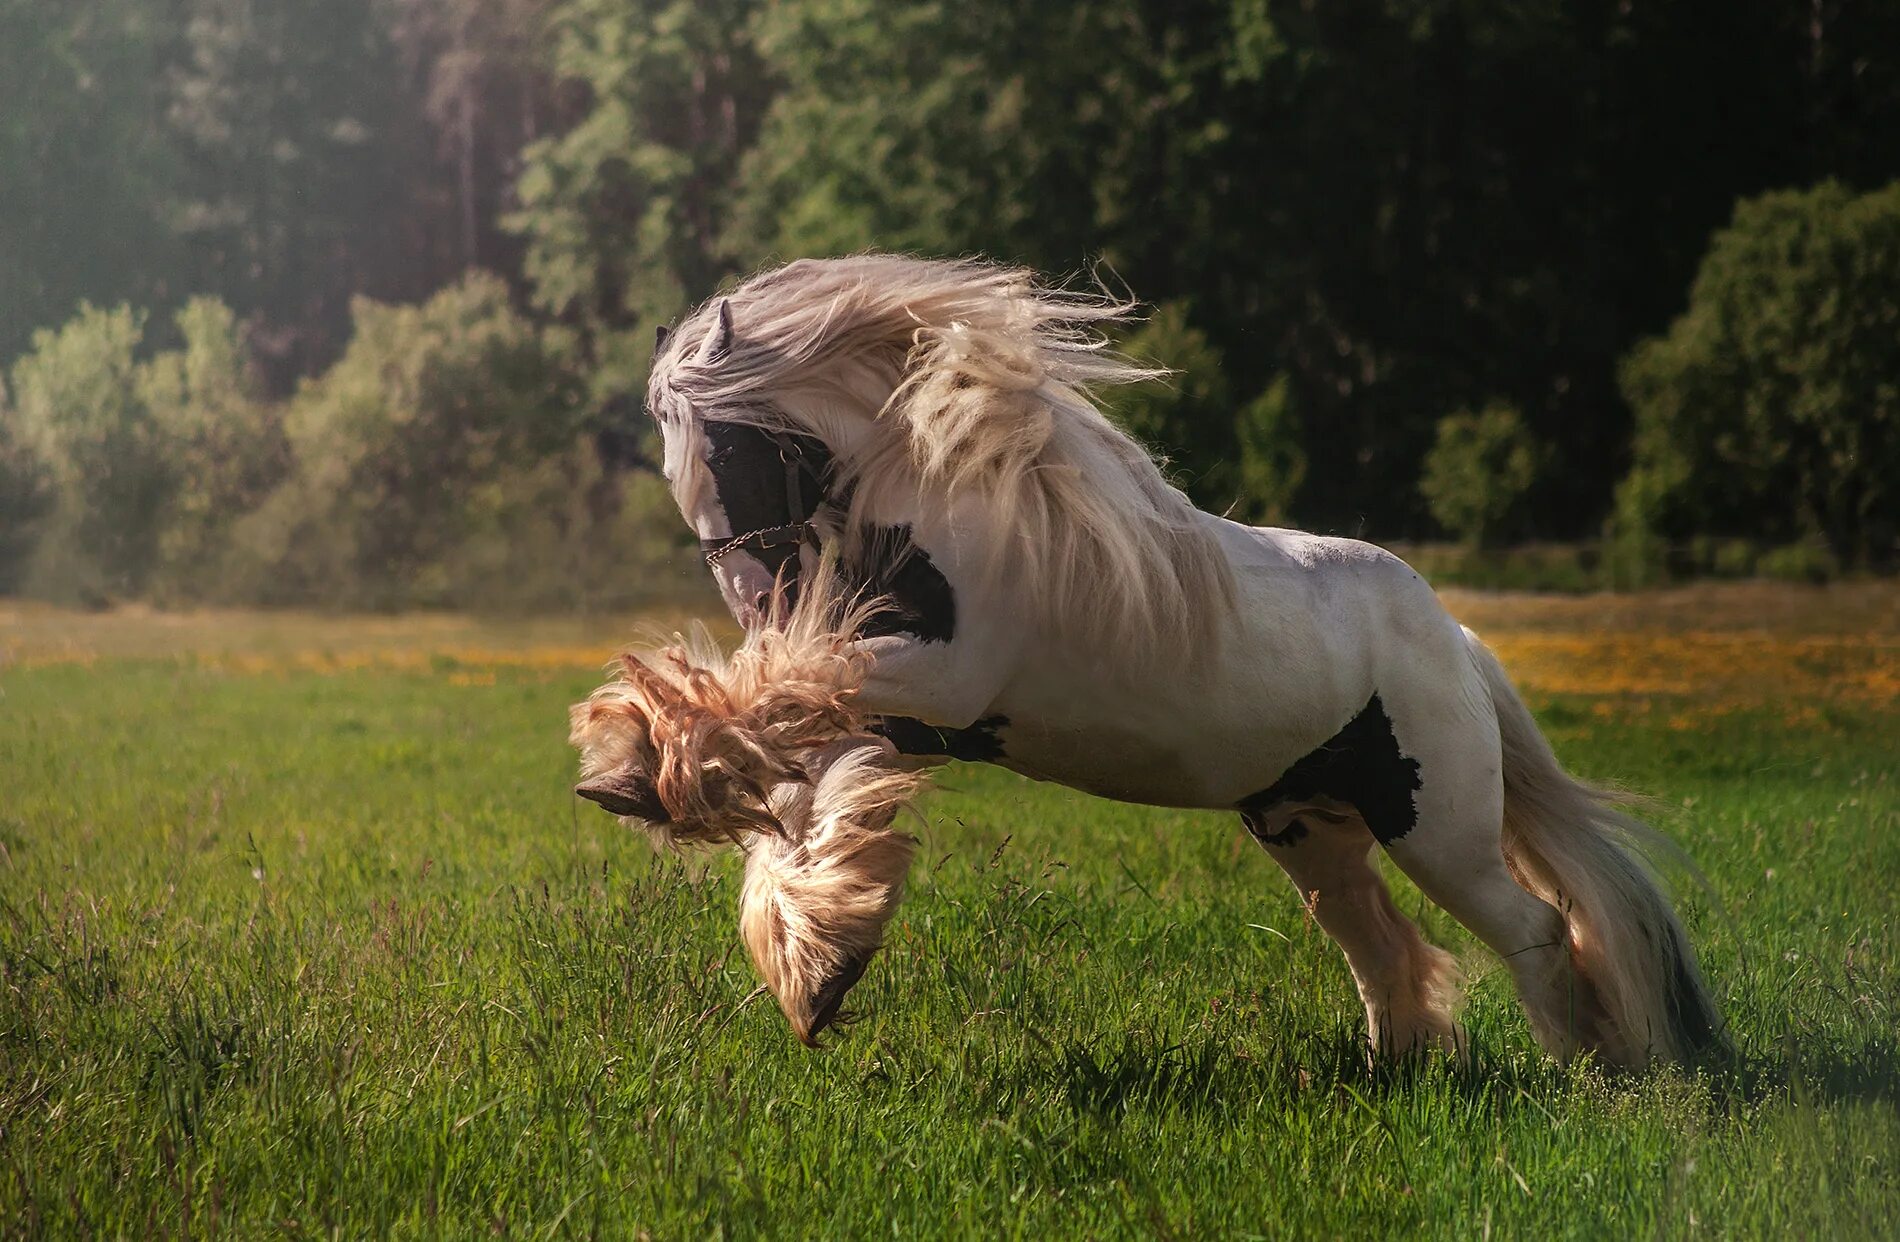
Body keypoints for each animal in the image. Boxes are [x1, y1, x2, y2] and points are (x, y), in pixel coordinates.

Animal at [573, 256, 1725, 1071]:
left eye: (725, 444)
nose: (757, 602)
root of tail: (1457, 644)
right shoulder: (893, 708)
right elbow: (801, 796)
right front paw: (814, 959)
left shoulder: (931, 677)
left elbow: (773, 730)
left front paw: (639, 773)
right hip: (1306, 826)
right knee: (1378, 942)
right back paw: (1397, 1071)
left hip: (1436, 828)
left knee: (1535, 928)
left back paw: (1589, 1073)